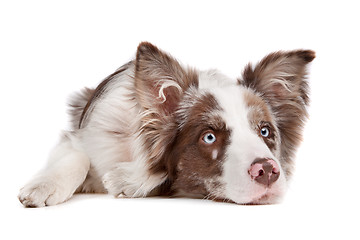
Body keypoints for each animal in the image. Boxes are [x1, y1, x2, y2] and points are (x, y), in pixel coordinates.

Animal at [18, 41, 314, 206]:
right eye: (209, 137)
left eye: (264, 131)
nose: (268, 170)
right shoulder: (82, 139)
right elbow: (77, 158)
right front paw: (43, 186)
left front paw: (130, 180)